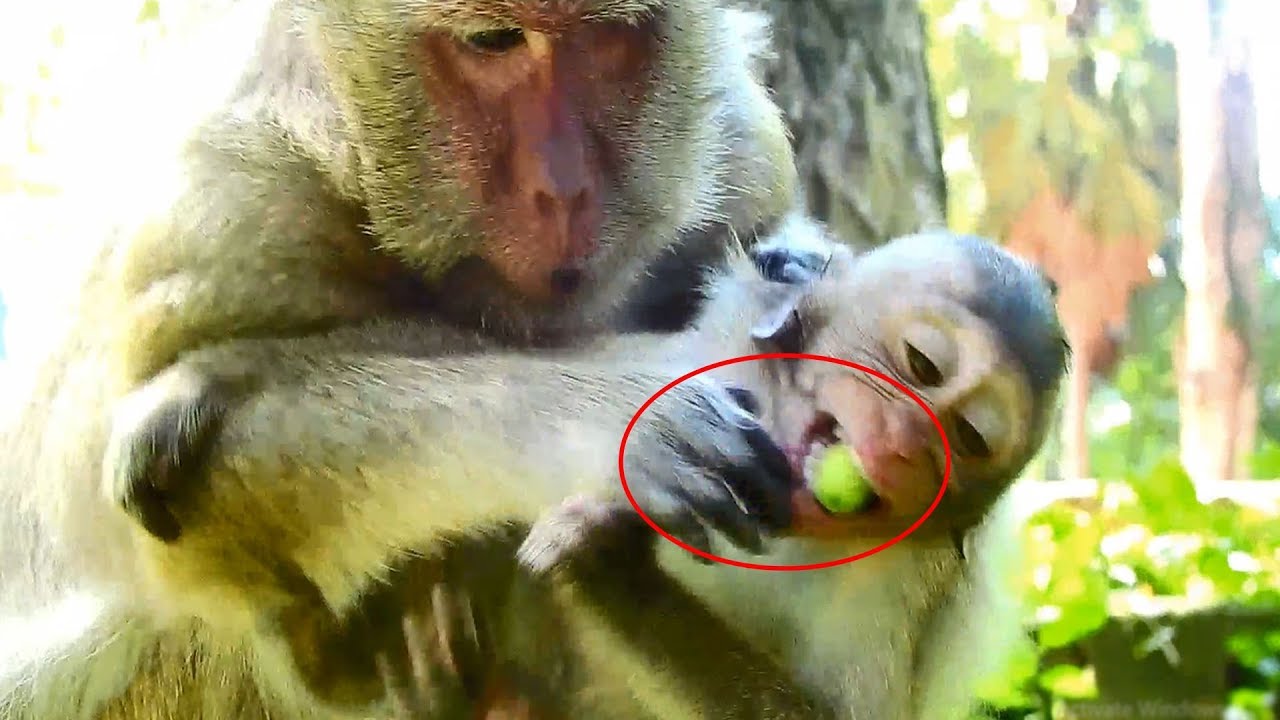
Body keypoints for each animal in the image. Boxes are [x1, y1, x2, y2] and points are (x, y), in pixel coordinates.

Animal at [0, 0, 809, 718]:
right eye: (493, 41)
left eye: (608, 35)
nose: (562, 189)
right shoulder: (223, 214)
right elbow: (170, 536)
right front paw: (625, 414)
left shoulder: (740, 153)